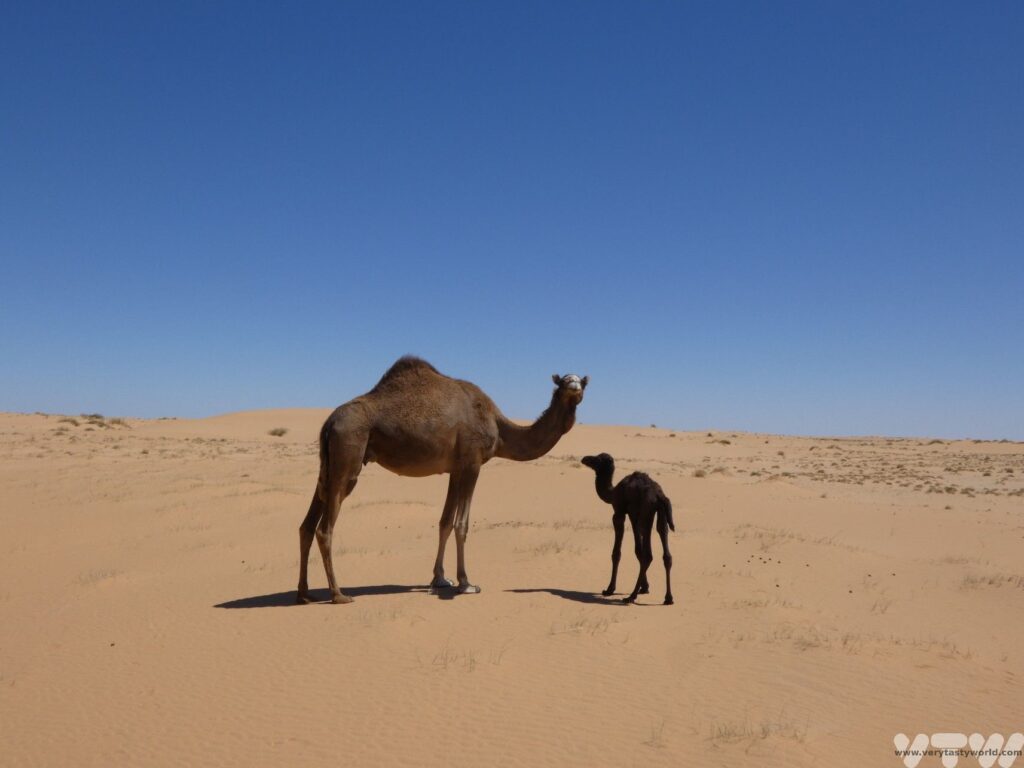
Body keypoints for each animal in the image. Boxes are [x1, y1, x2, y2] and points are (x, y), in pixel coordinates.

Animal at [297, 356, 588, 604]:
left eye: (582, 381)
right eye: (562, 381)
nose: (573, 386)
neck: (498, 427)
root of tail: (329, 422)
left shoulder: (455, 469)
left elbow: (445, 522)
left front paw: (440, 579)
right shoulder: (472, 463)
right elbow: (462, 524)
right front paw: (466, 583)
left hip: (327, 466)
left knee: (307, 525)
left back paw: (304, 594)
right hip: (348, 454)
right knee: (325, 528)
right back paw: (338, 594)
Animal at [580, 453, 675, 605]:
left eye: (598, 459)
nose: (584, 459)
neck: (612, 492)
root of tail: (659, 496)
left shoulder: (620, 512)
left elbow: (619, 552)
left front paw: (609, 589)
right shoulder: (632, 515)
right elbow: (638, 550)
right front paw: (645, 587)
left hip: (645, 513)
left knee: (648, 555)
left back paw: (631, 596)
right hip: (660, 513)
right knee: (665, 547)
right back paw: (668, 598)